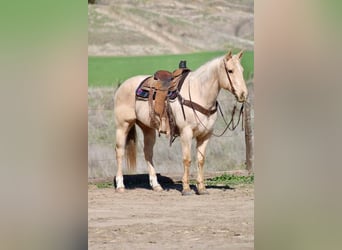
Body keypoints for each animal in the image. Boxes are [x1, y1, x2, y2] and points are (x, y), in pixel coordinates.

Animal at [113, 50, 247, 195]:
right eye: (230, 70)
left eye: (242, 70)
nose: (243, 94)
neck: (198, 93)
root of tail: (123, 85)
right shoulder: (186, 133)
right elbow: (187, 159)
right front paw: (186, 188)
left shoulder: (205, 135)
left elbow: (201, 160)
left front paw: (201, 188)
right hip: (123, 125)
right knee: (120, 152)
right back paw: (120, 185)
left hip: (147, 128)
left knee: (148, 153)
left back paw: (156, 185)